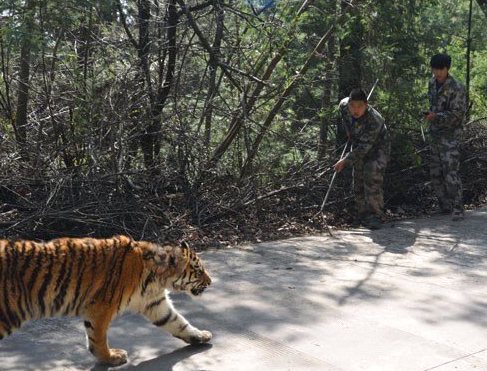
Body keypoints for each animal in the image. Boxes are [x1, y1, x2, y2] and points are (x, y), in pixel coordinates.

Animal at [0, 235, 214, 366]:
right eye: (198, 270)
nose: (211, 282)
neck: (156, 276)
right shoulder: (101, 307)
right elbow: (98, 337)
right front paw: (111, 357)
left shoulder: (155, 303)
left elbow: (177, 322)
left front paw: (200, 335)